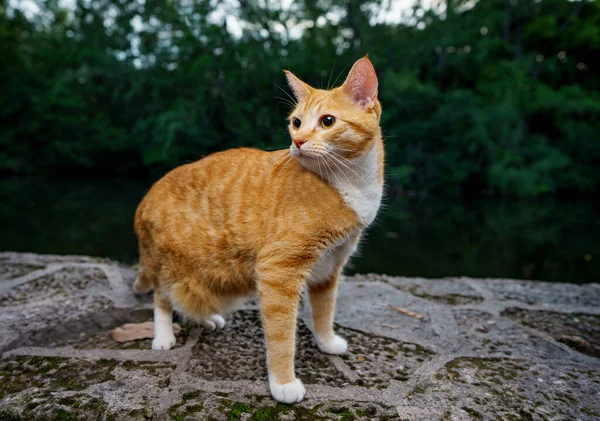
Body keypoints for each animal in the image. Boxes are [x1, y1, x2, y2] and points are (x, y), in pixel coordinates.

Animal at [133, 56, 382, 404]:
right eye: (296, 122)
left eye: (328, 121)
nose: (298, 142)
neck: (349, 183)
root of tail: (145, 198)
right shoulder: (279, 271)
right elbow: (281, 336)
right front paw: (283, 382)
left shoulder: (330, 265)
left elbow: (324, 310)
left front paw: (326, 341)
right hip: (172, 266)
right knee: (162, 297)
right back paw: (164, 334)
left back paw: (207, 318)